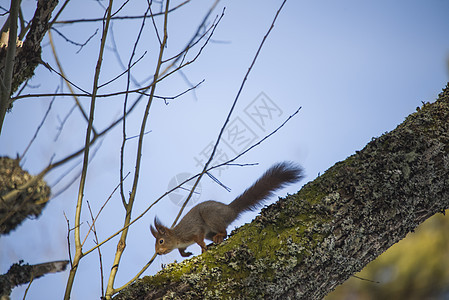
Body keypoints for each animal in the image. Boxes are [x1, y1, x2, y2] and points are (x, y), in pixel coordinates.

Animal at [150, 162, 300, 258]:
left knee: (224, 231)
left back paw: (219, 236)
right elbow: (181, 252)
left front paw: (203, 248)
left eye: (161, 241)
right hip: (210, 231)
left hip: (211, 217)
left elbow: (199, 238)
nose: (157, 253)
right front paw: (186, 254)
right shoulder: (183, 243)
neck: (177, 236)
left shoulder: (192, 231)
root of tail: (230, 210)